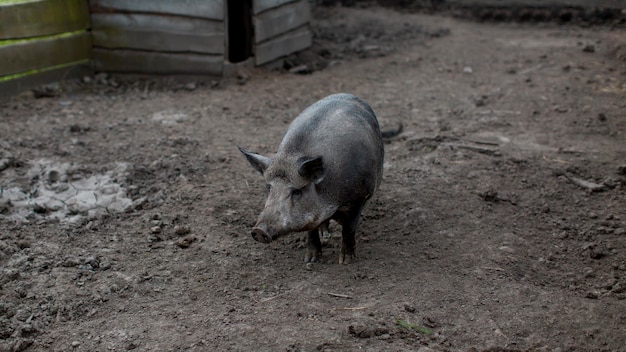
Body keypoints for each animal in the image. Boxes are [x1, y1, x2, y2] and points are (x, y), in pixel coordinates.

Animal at [236, 93, 398, 264]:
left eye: (296, 191)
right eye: (269, 187)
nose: (259, 230)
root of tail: (349, 95)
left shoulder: (358, 199)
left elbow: (348, 229)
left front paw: (345, 261)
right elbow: (311, 230)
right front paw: (311, 260)